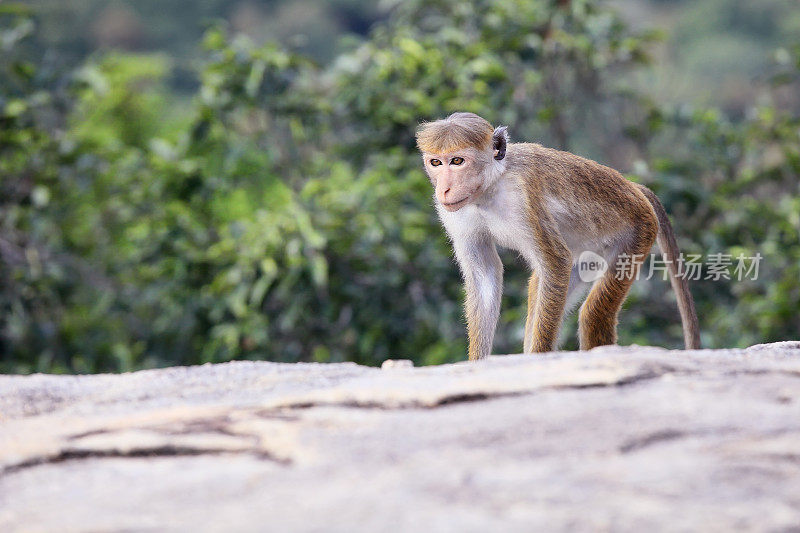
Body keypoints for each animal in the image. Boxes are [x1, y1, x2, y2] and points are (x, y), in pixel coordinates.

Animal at [416, 112, 696, 362]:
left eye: (457, 161)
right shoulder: (456, 215)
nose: (444, 189)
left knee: (593, 314)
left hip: (638, 232)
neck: (490, 187)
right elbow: (485, 275)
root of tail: (635, 189)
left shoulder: (522, 198)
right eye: (436, 163)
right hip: (590, 254)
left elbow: (556, 262)